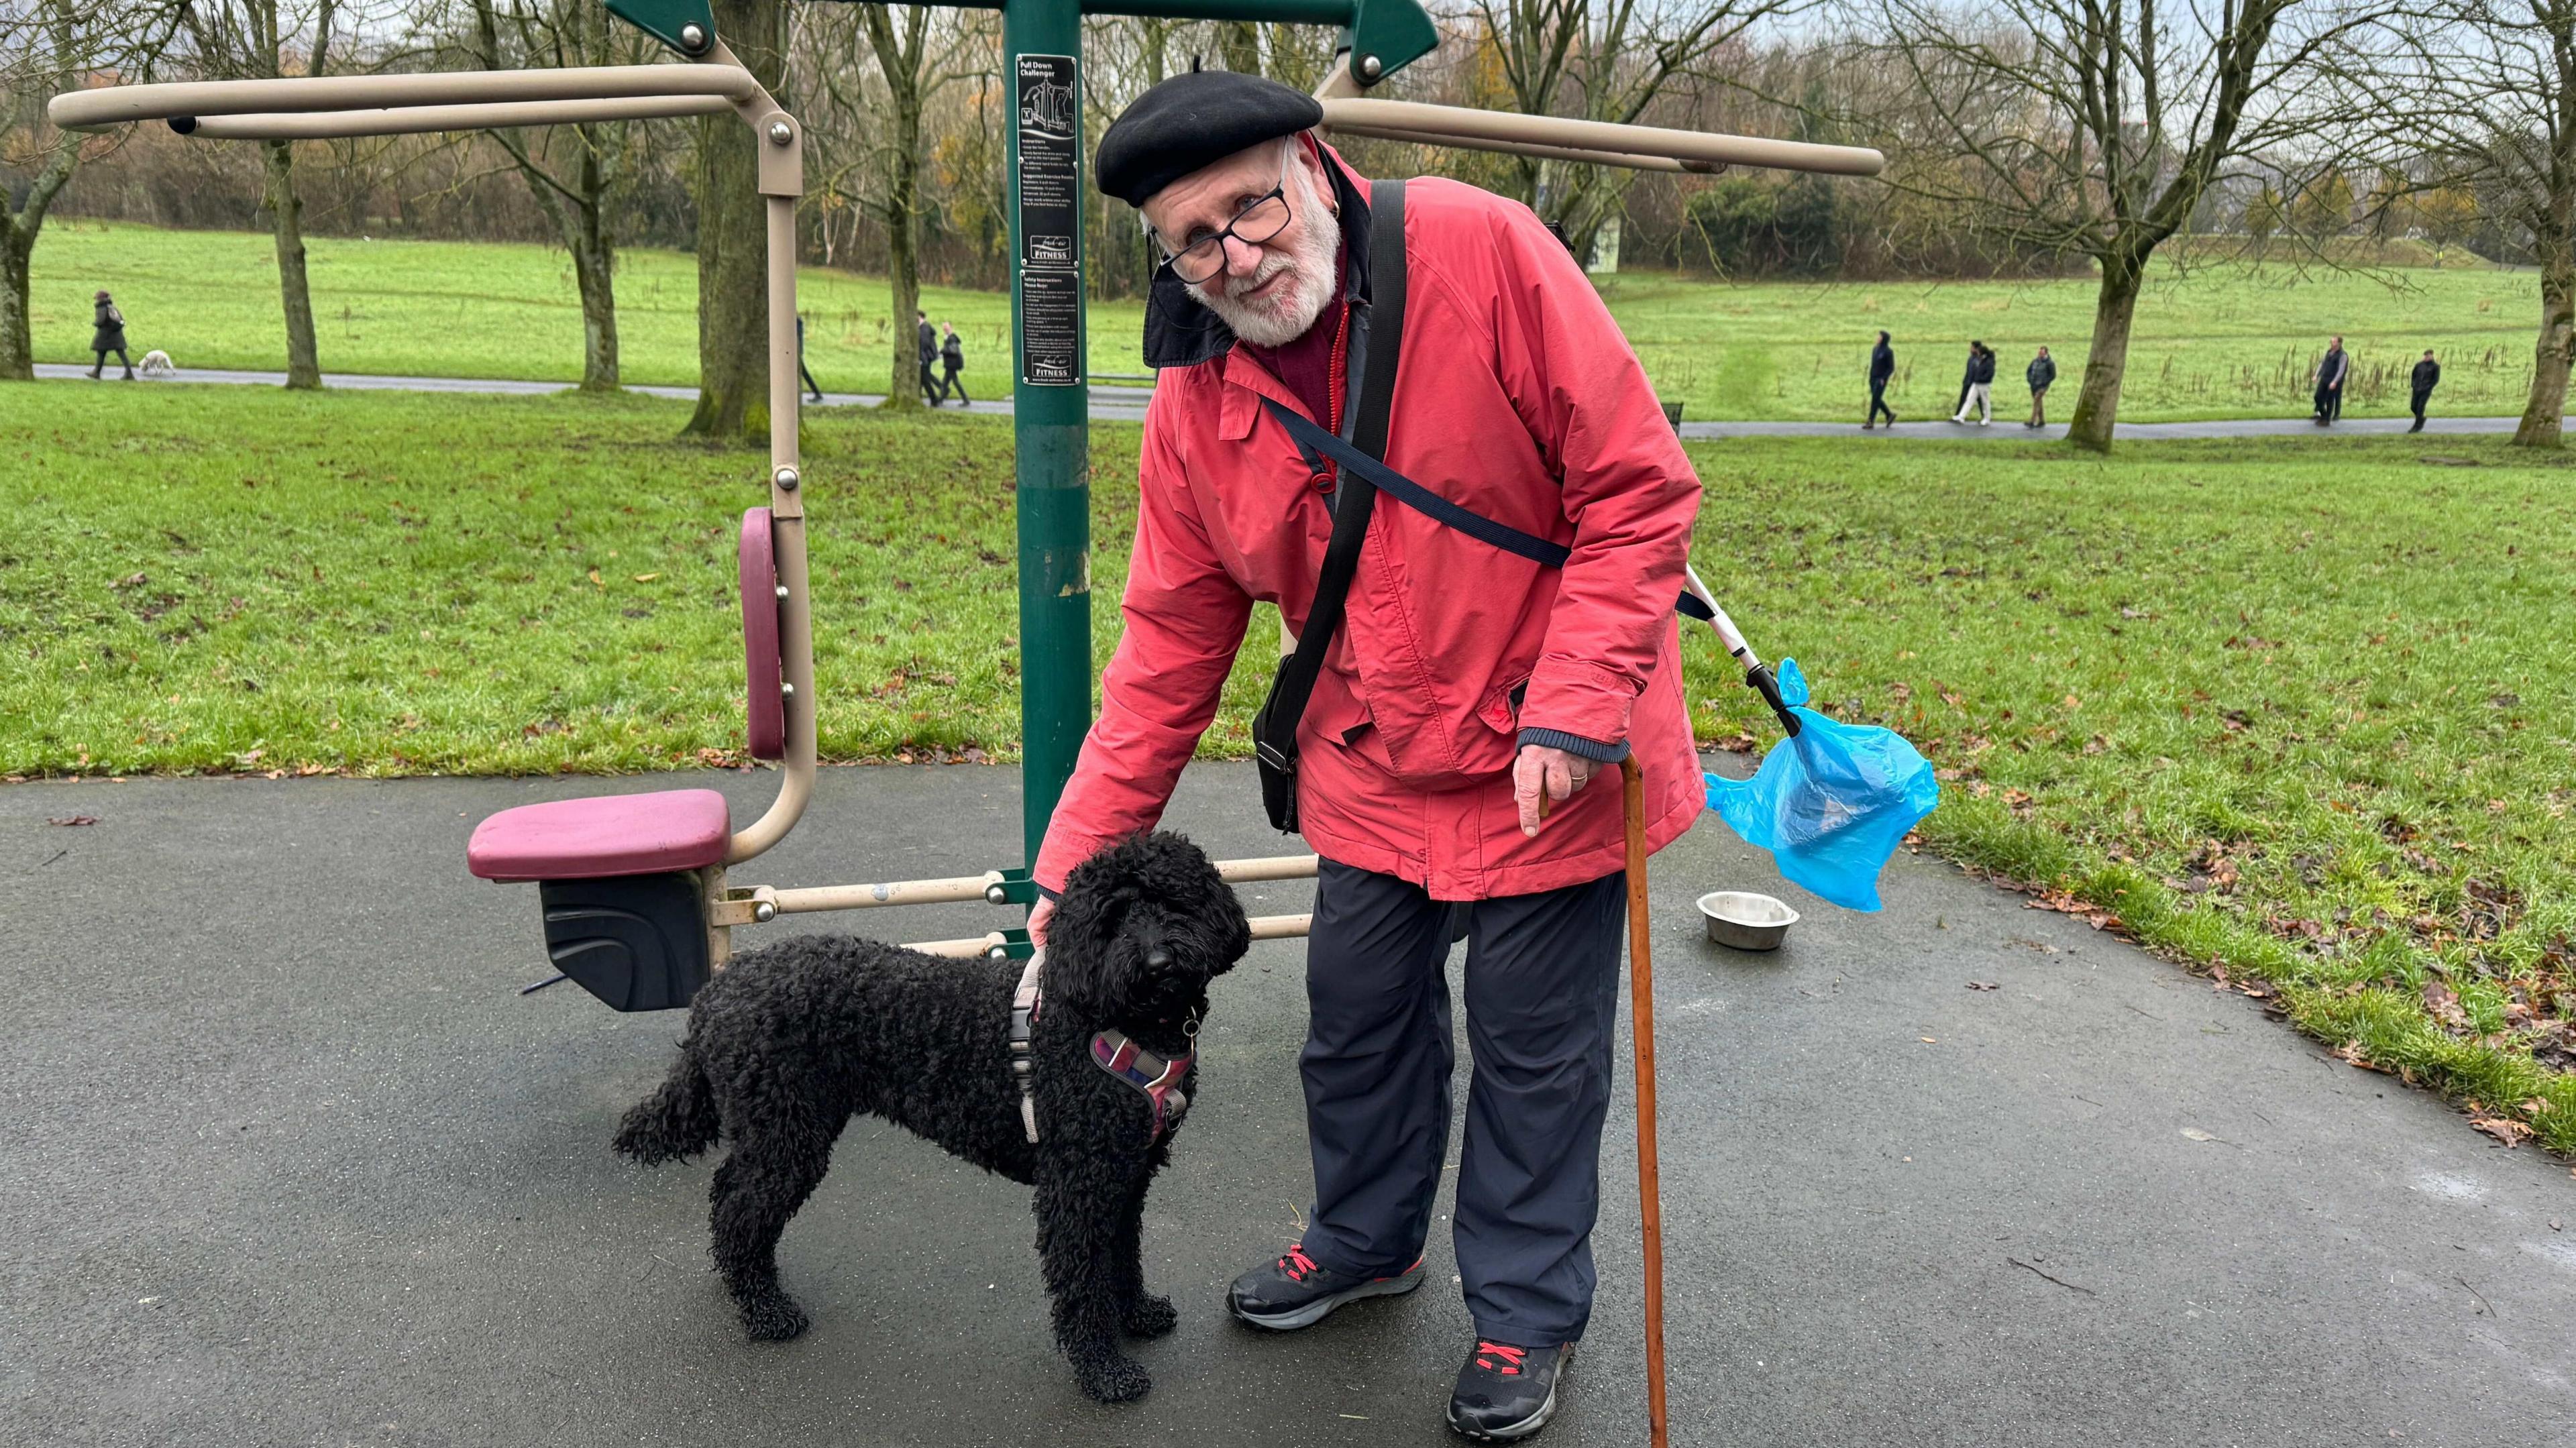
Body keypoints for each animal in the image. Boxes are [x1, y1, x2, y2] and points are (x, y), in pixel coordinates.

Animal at [608, 830, 1241, 1401]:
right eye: (1112, 920)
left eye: (1174, 901)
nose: (1158, 960)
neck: (1120, 1020)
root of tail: (715, 994)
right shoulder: (1077, 1185)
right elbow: (1084, 1279)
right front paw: (1104, 1370)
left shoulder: (1126, 1176)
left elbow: (1123, 1255)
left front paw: (1136, 1315)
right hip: (786, 1138)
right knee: (741, 1213)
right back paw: (765, 1310)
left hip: (779, 1129)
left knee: (726, 1196)